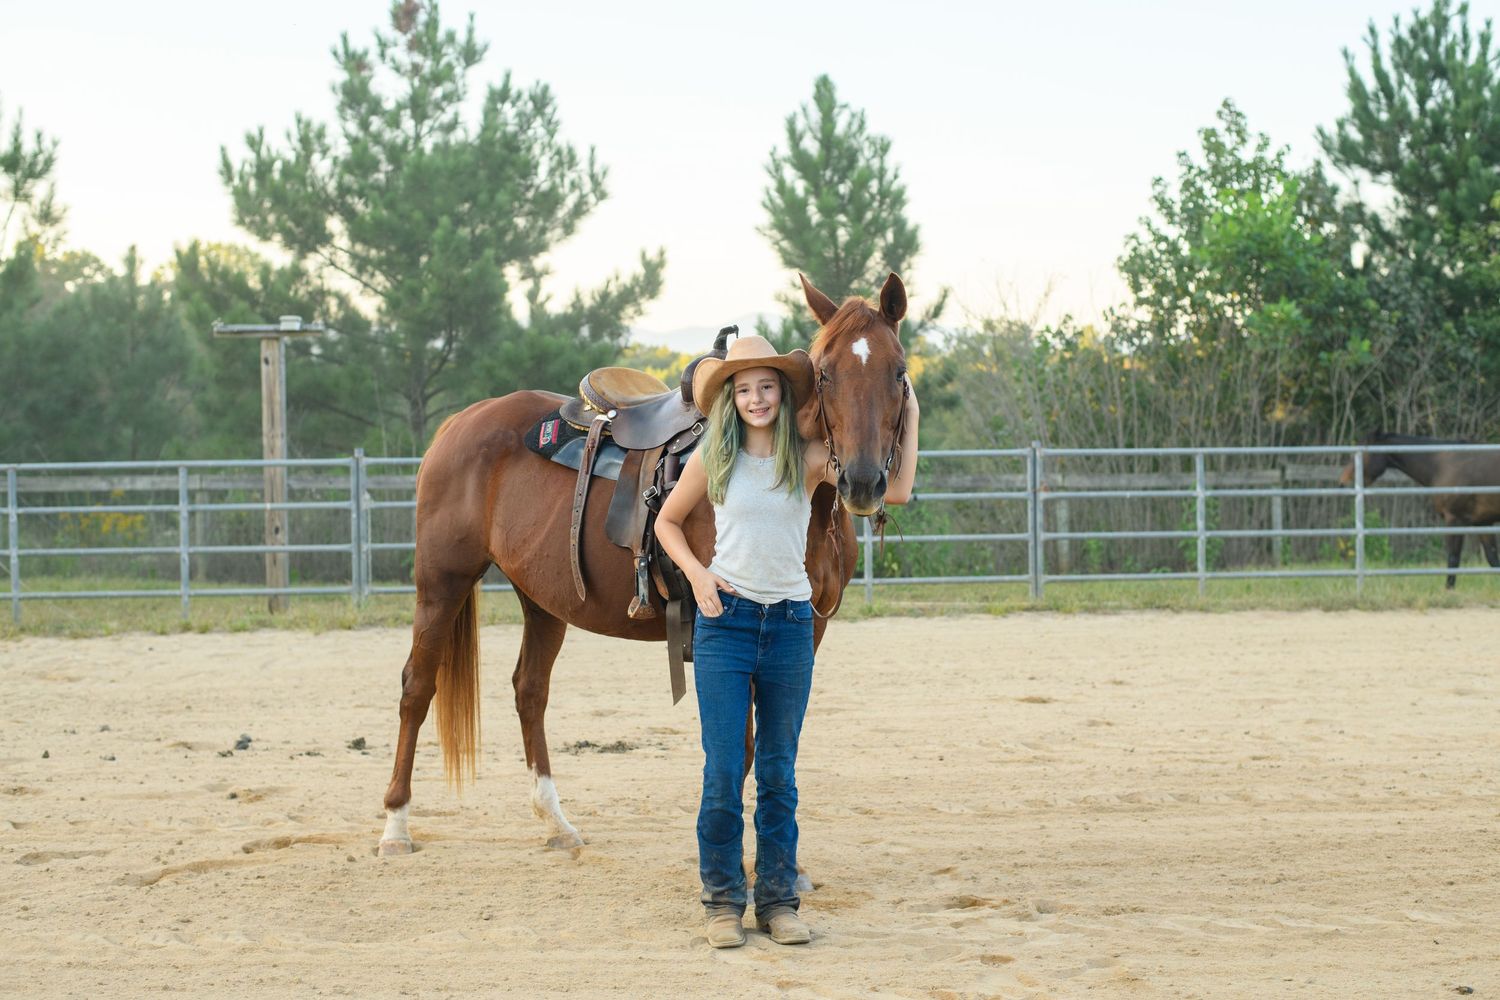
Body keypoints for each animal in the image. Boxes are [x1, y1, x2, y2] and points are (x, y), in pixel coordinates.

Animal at [377, 272, 913, 858]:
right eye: (824, 373)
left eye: (899, 370)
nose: (861, 481)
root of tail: (460, 422)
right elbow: (742, 751)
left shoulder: (805, 632)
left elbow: (776, 749)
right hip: (442, 583)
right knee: (416, 688)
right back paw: (396, 826)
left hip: (542, 598)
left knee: (529, 690)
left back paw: (556, 823)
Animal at [1340, 432, 1500, 588]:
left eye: (1361, 456)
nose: (1343, 483)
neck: (1441, 465)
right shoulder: (1482, 523)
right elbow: (1492, 558)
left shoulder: (1455, 519)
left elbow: (1453, 558)